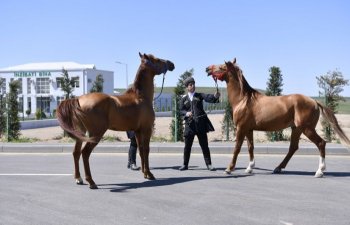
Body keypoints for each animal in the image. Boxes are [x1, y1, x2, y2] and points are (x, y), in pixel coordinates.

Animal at [57, 53, 175, 188]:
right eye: (157, 60)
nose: (171, 64)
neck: (141, 97)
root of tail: (78, 99)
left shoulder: (138, 131)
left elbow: (140, 150)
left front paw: (145, 173)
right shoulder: (147, 129)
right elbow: (146, 150)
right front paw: (150, 174)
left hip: (81, 133)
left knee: (76, 153)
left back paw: (78, 178)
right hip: (96, 134)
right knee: (85, 153)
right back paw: (91, 181)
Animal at [205, 58, 350, 178]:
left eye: (222, 67)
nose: (207, 68)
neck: (244, 100)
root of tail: (314, 101)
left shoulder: (241, 128)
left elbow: (237, 148)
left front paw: (229, 169)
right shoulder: (249, 129)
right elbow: (250, 147)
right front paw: (250, 168)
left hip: (307, 129)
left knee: (321, 143)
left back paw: (319, 171)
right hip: (296, 129)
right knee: (293, 147)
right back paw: (278, 168)